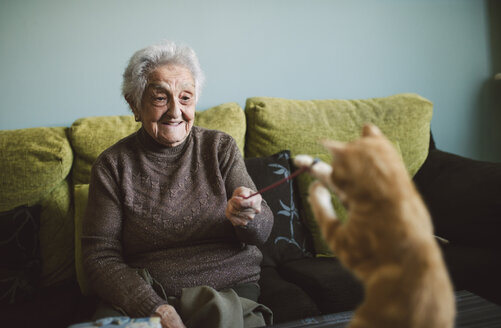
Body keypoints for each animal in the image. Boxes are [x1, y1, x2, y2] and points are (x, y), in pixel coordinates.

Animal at [294, 123, 456, 328]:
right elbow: (326, 172)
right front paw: (306, 161)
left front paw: (317, 191)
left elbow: (327, 214)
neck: (396, 195)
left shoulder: (349, 244)